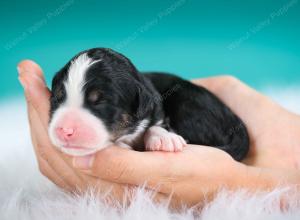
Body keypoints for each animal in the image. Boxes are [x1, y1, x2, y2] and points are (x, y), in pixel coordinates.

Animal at [49, 47, 250, 160]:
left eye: (101, 102)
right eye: (58, 98)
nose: (64, 130)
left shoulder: (157, 108)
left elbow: (157, 124)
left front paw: (164, 139)